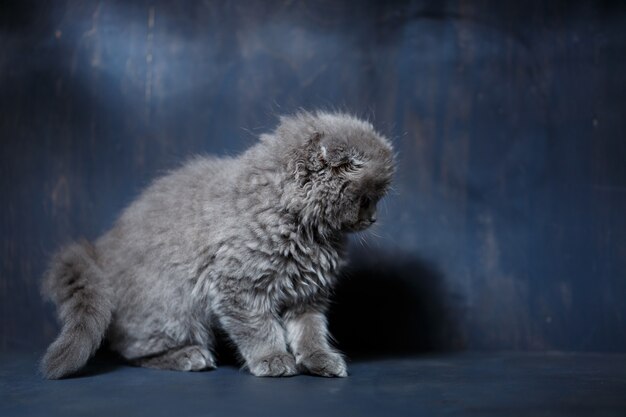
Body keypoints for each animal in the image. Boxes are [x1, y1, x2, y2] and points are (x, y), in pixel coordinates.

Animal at [41, 110, 392, 376]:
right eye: (366, 199)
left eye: (376, 200)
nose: (374, 218)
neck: (303, 228)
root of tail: (101, 250)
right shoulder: (237, 285)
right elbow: (259, 327)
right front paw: (271, 359)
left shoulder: (308, 294)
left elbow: (310, 331)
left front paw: (320, 360)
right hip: (173, 306)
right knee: (132, 349)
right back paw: (188, 356)